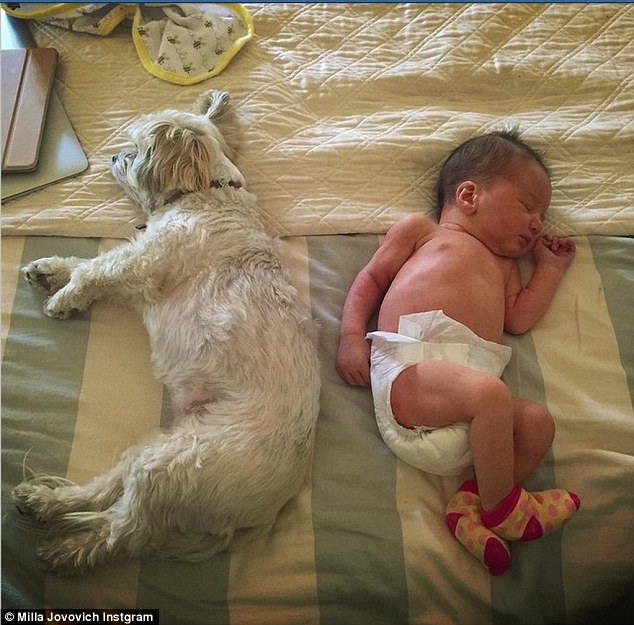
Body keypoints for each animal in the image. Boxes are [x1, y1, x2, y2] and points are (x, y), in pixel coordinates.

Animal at [13, 89, 320, 576]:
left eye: (135, 150)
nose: (113, 155)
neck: (205, 194)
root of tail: (260, 515)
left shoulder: (144, 264)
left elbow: (96, 270)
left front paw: (63, 297)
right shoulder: (139, 272)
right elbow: (86, 264)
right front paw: (50, 271)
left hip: (174, 464)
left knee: (121, 530)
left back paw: (67, 548)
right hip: (158, 448)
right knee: (105, 491)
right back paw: (43, 501)